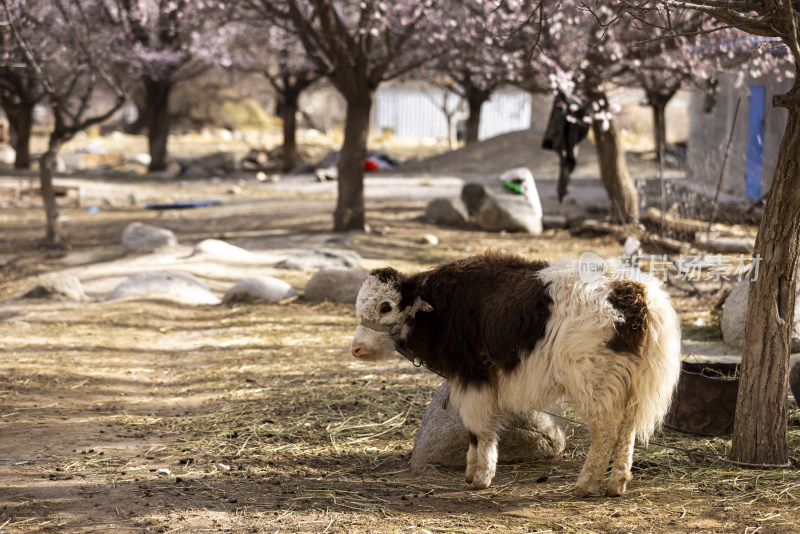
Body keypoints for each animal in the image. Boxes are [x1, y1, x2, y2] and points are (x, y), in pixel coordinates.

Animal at [352, 253, 680, 500]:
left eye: (386, 306)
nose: (356, 348)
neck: (439, 307)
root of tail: (636, 295)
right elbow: (471, 430)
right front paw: (471, 471)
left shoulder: (474, 376)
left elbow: (481, 428)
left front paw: (481, 477)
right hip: (629, 384)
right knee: (627, 430)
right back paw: (617, 484)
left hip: (596, 383)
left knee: (606, 431)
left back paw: (584, 485)